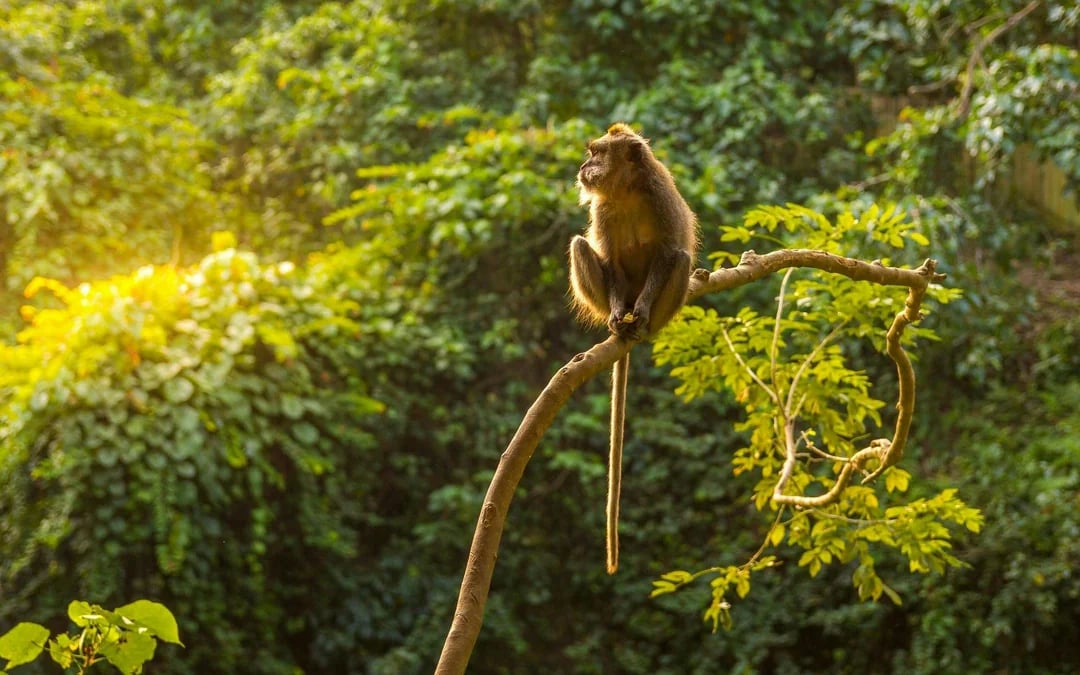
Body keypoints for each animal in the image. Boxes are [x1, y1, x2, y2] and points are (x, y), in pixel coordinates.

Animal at [568, 123, 698, 574]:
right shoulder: (602, 214)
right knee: (579, 246)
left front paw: (639, 311)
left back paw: (643, 325)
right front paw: (620, 310)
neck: (625, 191)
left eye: (596, 153)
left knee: (681, 259)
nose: (583, 166)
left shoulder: (660, 199)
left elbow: (666, 254)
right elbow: (612, 265)